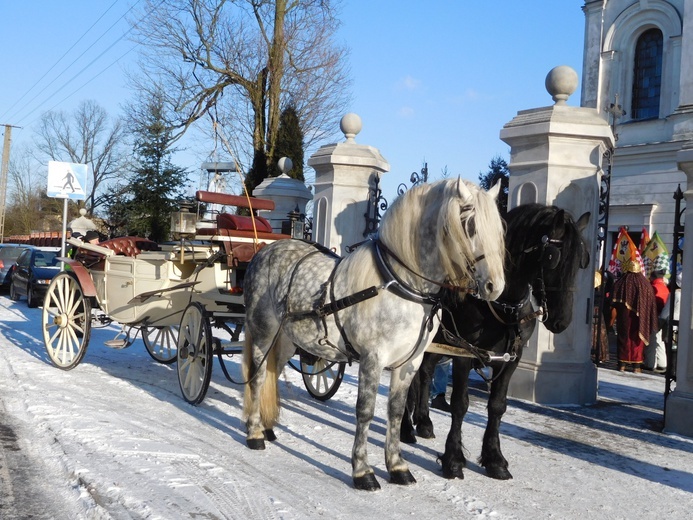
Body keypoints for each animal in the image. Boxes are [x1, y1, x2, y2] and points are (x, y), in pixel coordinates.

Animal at [400, 203, 588, 480]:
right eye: (552, 257)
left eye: (581, 261)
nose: (562, 321)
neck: (502, 306)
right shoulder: (464, 353)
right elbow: (460, 404)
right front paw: (453, 459)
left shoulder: (510, 359)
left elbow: (498, 406)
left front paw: (494, 459)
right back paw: (405, 428)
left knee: (424, 374)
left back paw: (423, 421)